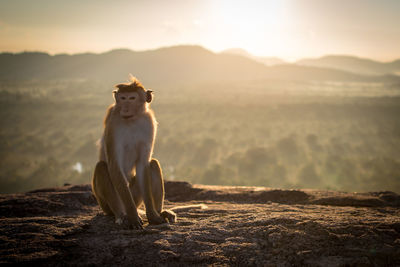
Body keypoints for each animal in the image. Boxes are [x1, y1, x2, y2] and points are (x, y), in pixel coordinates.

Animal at [93, 76, 177, 229]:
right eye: (122, 98)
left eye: (131, 98)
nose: (125, 108)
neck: (132, 119)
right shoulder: (114, 123)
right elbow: (114, 164)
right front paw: (133, 217)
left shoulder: (149, 123)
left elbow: (143, 164)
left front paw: (153, 216)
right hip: (105, 204)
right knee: (102, 167)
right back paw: (121, 214)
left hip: (136, 197)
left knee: (153, 164)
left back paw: (161, 212)